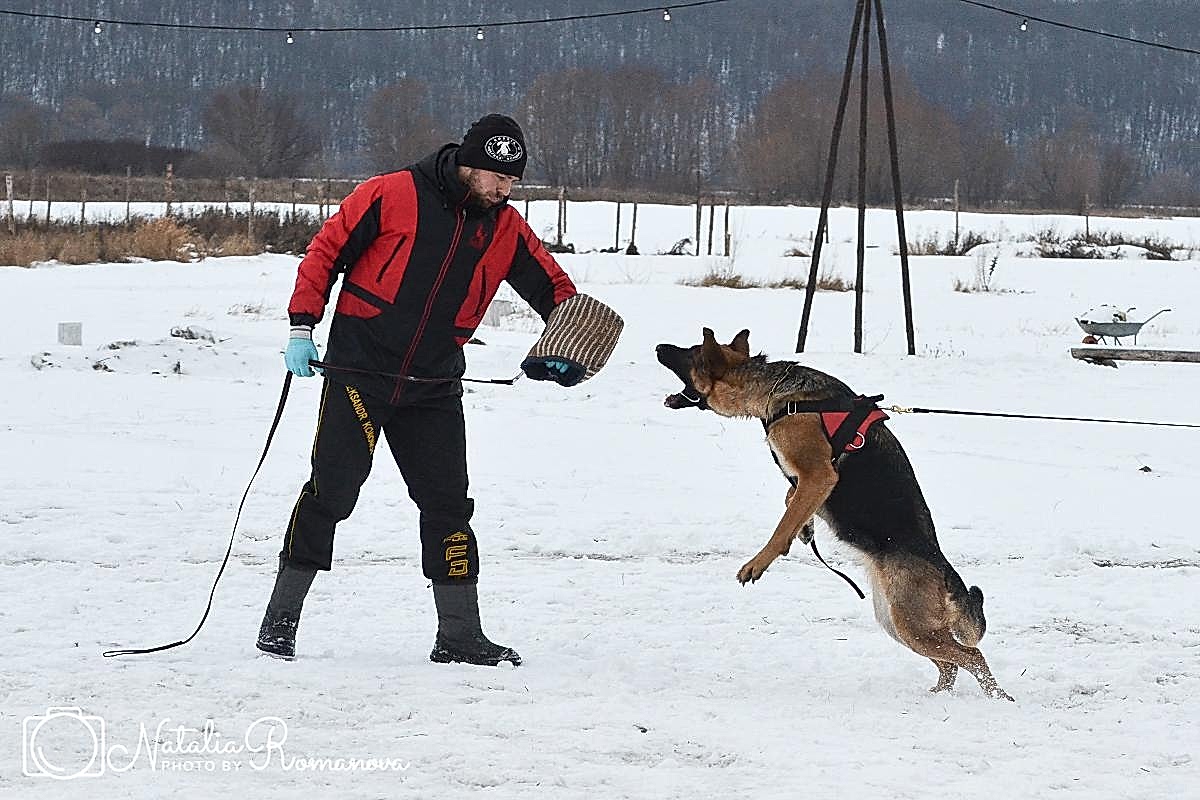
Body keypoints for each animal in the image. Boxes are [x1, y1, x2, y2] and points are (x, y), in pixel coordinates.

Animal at [656, 328, 1012, 700]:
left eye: (689, 351)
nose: (658, 346)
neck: (773, 388)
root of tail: (944, 569)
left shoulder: (820, 475)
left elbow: (781, 527)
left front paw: (759, 562)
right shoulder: (808, 482)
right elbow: (792, 502)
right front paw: (804, 528)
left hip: (909, 623)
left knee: (972, 655)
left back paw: (999, 700)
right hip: (898, 622)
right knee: (951, 664)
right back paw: (938, 696)